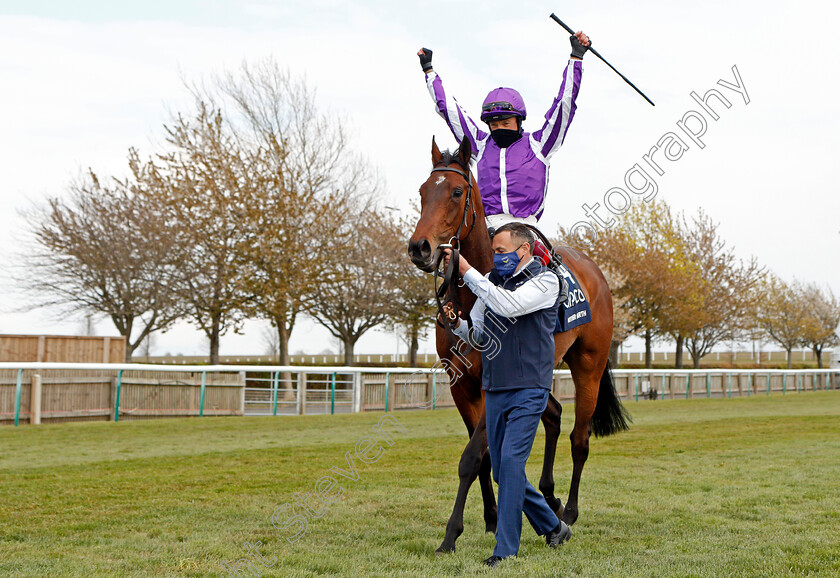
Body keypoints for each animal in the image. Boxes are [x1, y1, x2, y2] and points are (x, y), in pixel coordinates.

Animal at [406, 133, 632, 552]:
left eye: (457, 191)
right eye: (423, 191)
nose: (420, 248)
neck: (475, 297)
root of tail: (596, 271)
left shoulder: (493, 382)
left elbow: (472, 457)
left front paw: (451, 534)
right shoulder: (461, 385)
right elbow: (484, 457)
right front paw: (492, 518)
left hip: (588, 365)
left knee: (580, 438)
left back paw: (568, 510)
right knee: (554, 415)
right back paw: (549, 495)